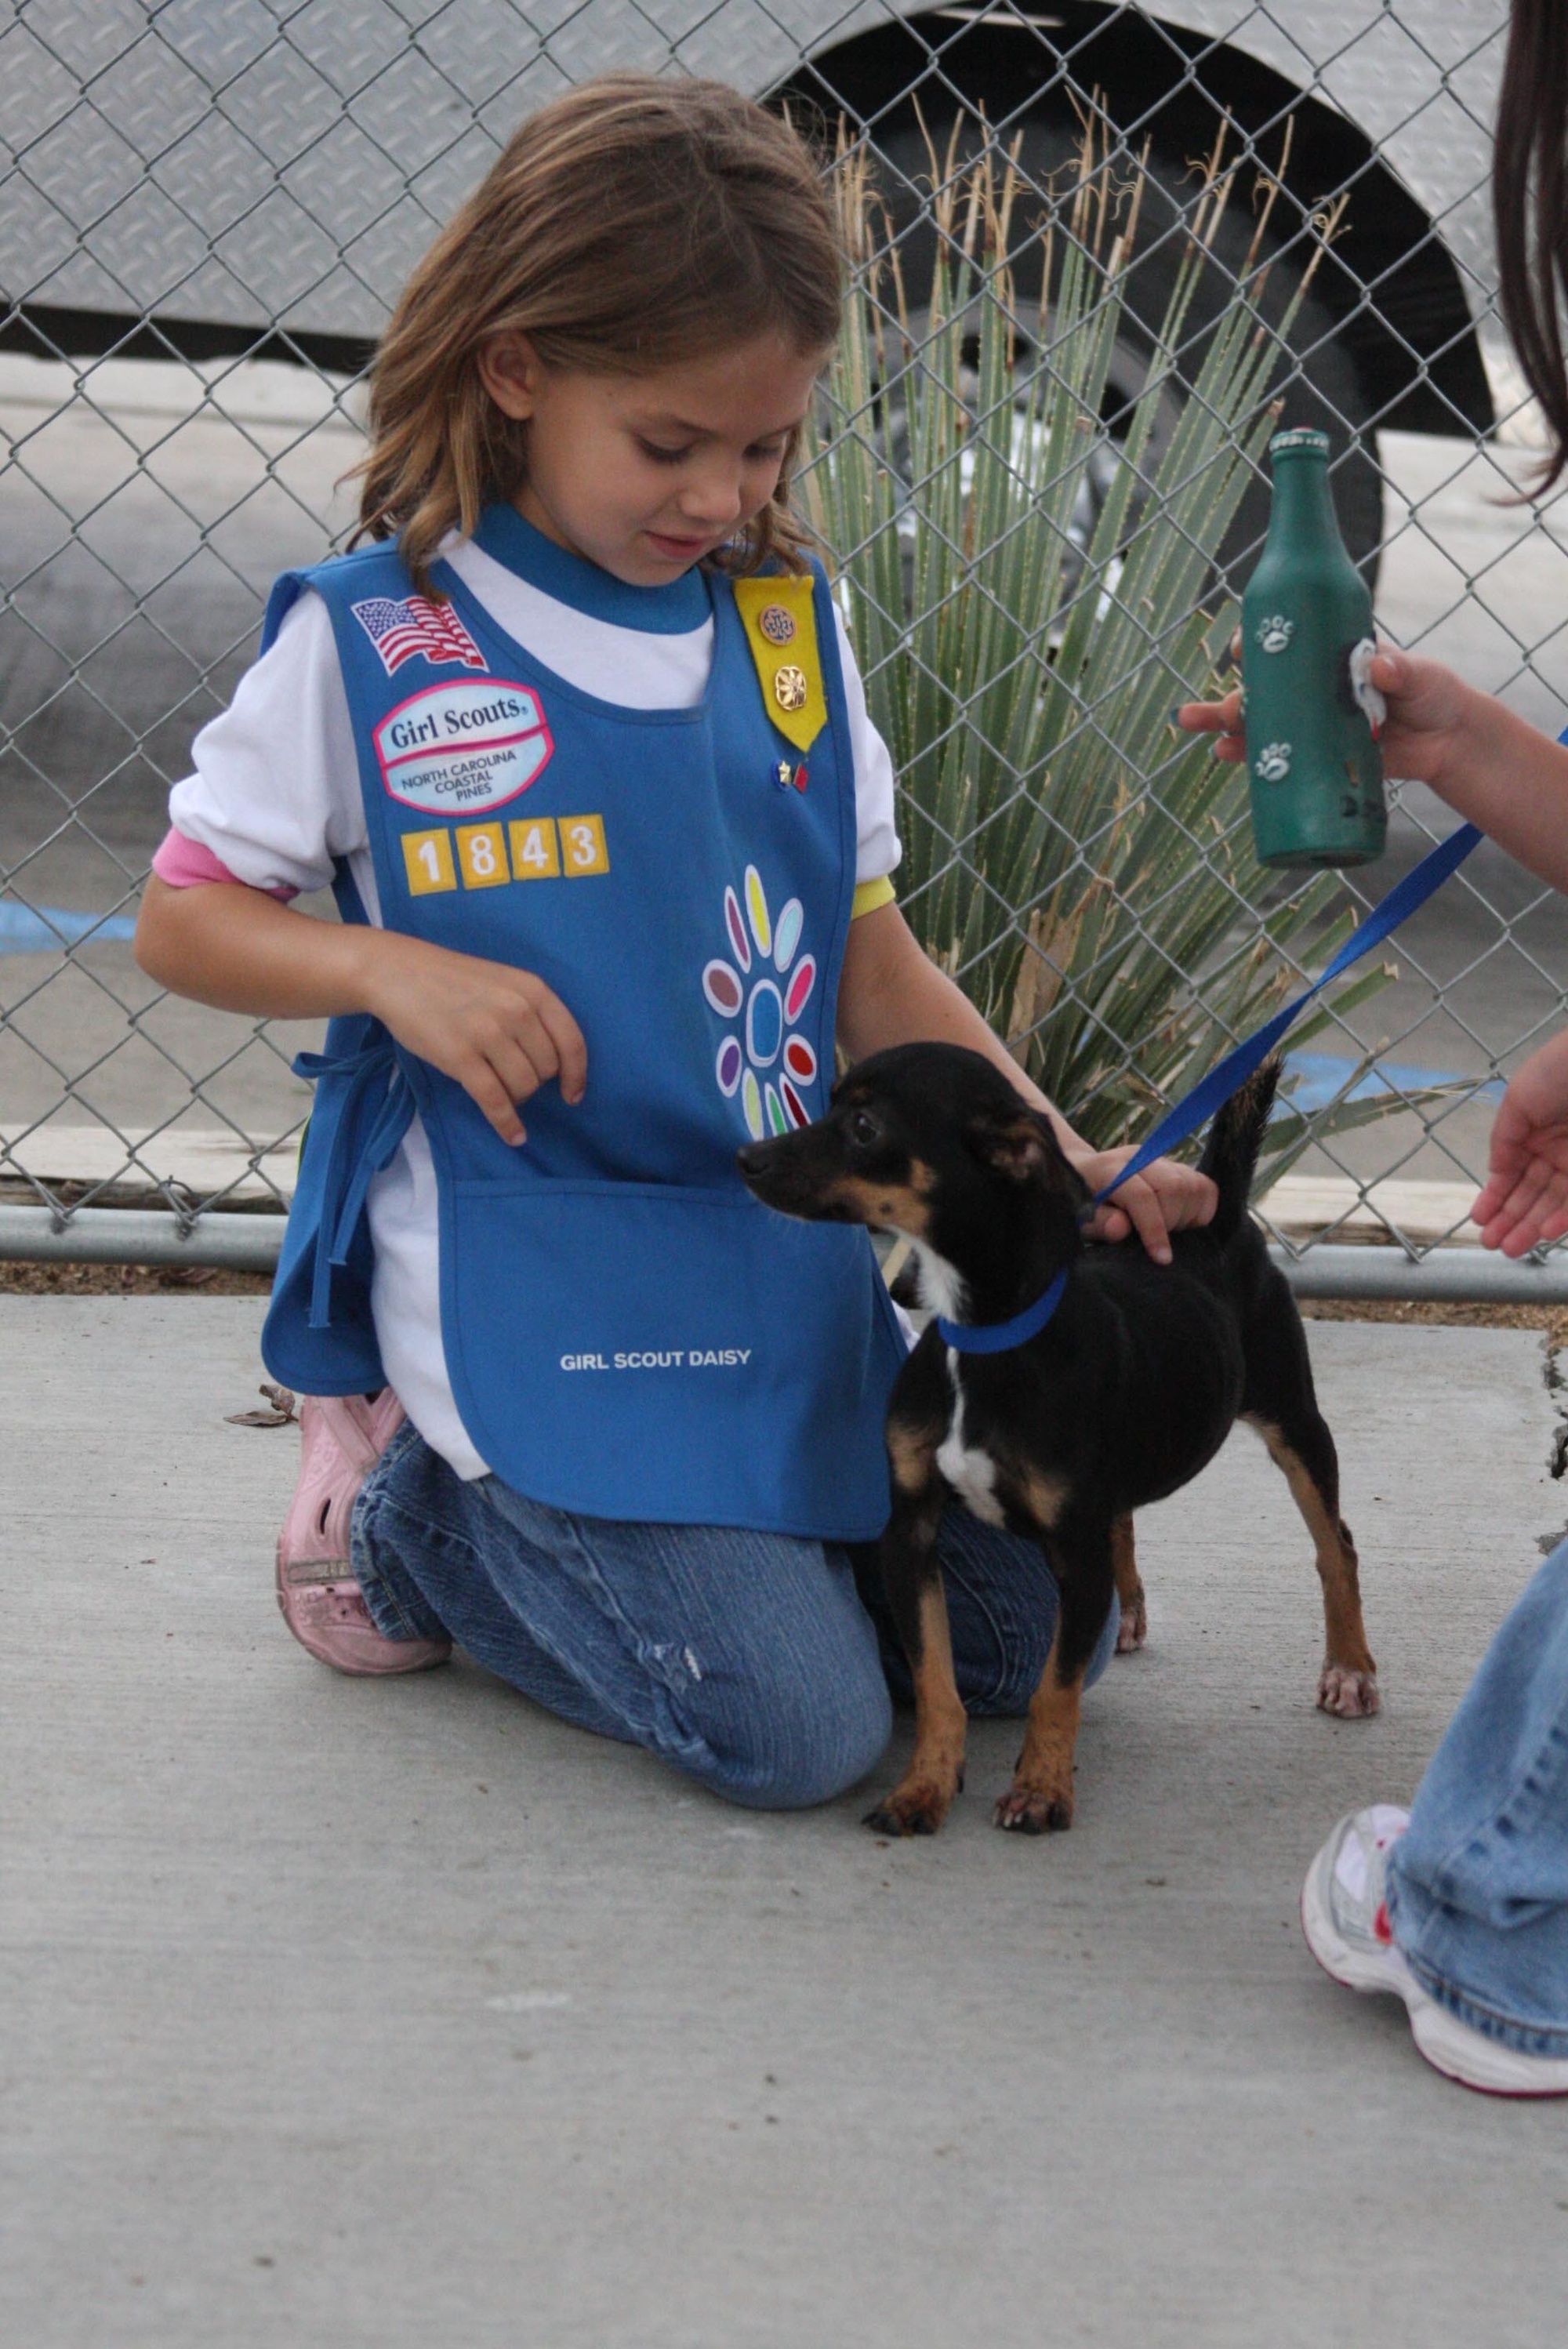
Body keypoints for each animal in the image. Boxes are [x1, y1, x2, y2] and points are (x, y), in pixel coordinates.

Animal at [737, 1043, 1370, 1832]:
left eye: (862, 1126)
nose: (746, 1158)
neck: (982, 1338)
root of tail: (1218, 1213)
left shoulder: (1074, 1551)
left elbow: (1054, 1688)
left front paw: (1041, 1790)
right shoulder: (910, 1531)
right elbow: (938, 1684)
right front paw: (923, 1788)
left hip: (1294, 1419)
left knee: (1336, 1546)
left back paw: (1350, 1670)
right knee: (1129, 1518)